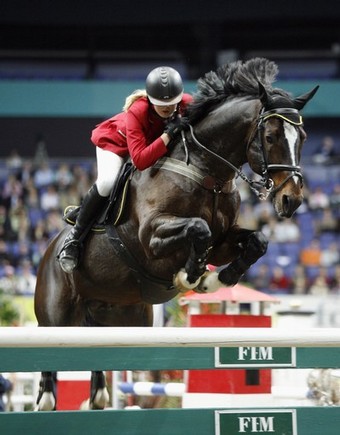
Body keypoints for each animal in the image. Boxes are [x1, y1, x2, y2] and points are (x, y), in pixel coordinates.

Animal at [33, 57, 318, 408]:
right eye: (271, 136)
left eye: (302, 136)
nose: (291, 200)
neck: (206, 171)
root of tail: (49, 250)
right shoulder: (152, 238)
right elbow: (198, 229)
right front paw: (191, 275)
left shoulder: (224, 240)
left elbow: (256, 242)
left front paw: (219, 279)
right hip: (56, 315)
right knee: (49, 365)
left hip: (124, 317)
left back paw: (99, 395)